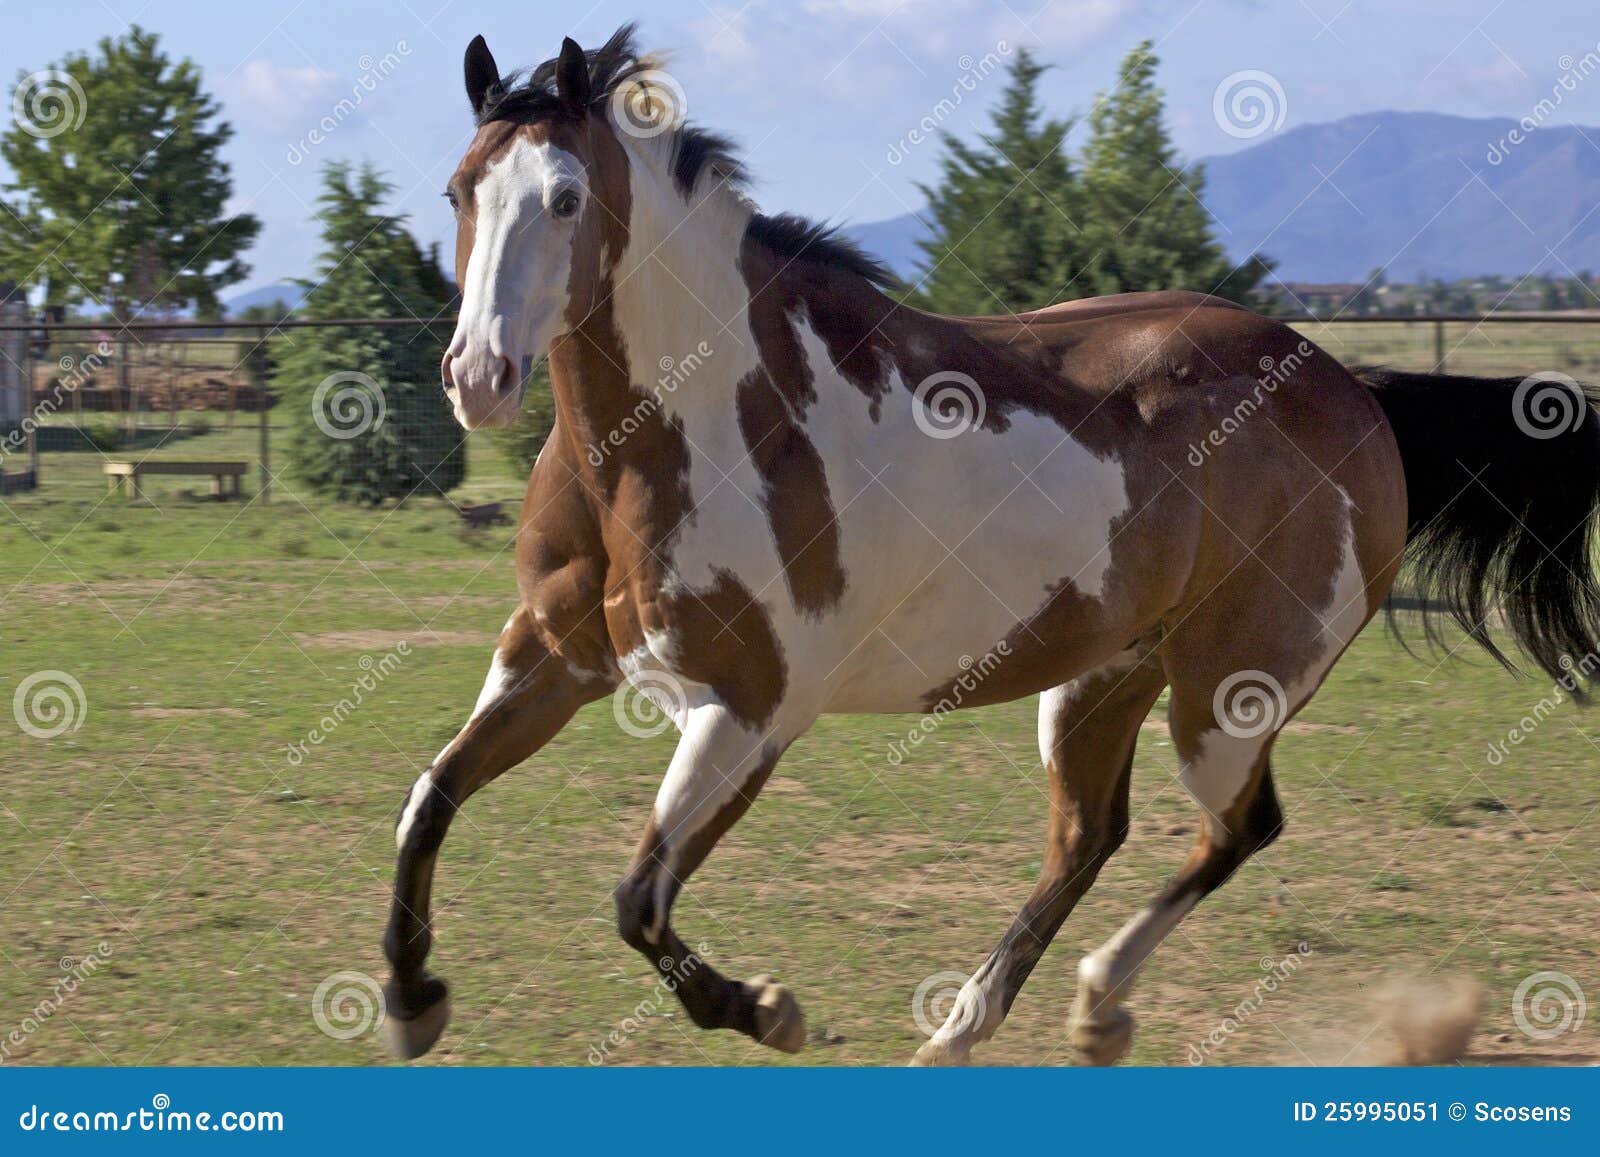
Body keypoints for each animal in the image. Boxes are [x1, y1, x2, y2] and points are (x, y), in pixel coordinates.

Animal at [382, 24, 1600, 1065]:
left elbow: (639, 900)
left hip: (1227, 697)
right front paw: (409, 999)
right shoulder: (550, 659)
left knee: (1237, 825)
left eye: (566, 197)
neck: (678, 429)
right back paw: (986, 1026)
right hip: (1100, 677)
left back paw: (1085, 1005)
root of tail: (1354, 391)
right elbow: (429, 796)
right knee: (1090, 834)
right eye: (457, 190)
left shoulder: (747, 710)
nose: (478, 377)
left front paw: (770, 1009)